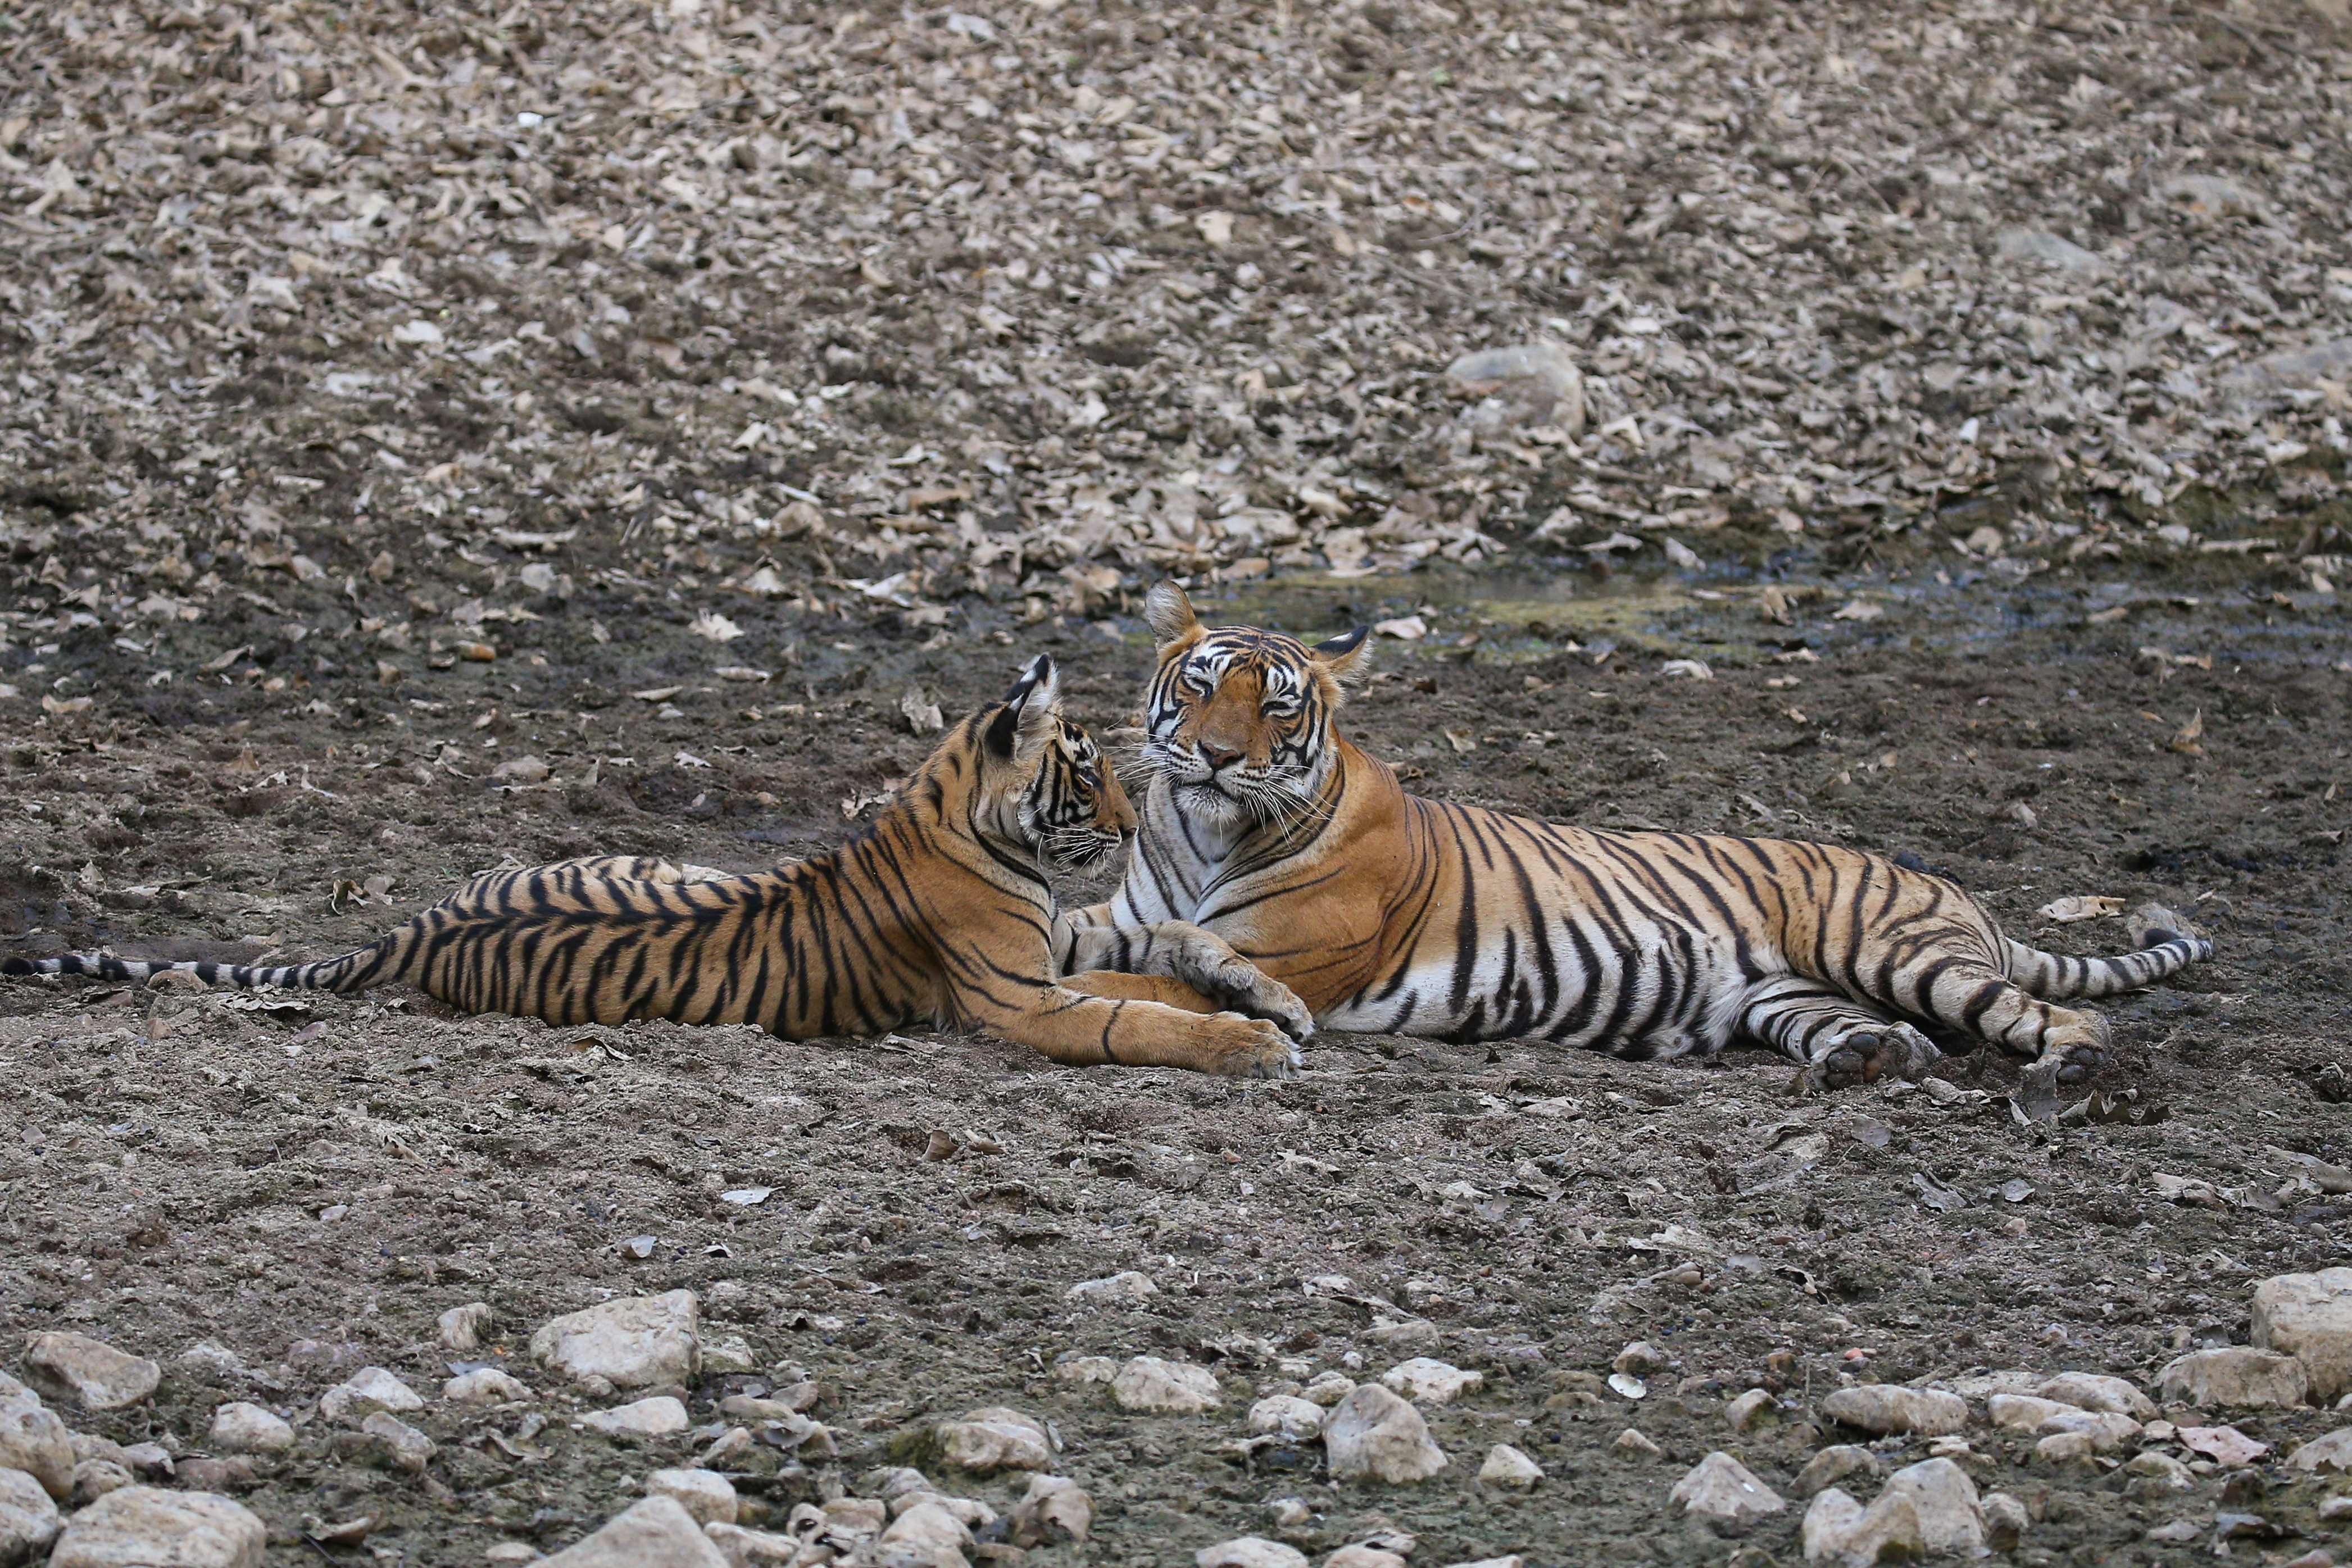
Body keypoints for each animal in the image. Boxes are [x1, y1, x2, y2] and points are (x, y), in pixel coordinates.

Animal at [4, 654, 1314, 1078]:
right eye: (1082, 771)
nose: (1129, 815)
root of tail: (411, 927)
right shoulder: (1022, 999)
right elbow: (1140, 1015)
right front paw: (1247, 1043)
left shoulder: (1063, 934)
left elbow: (1176, 939)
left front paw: (1278, 1002)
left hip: (641, 853)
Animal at [1054, 582, 2214, 1113]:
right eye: (1202, 686)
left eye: (1276, 706)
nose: (1212, 757)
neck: (1203, 832)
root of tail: (1955, 889)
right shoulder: (1119, 914)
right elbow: (1100, 938)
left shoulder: (1296, 953)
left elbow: (1172, 970)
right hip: (1787, 996)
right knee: (1896, 1038)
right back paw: (1870, 1061)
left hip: (1895, 951)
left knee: (2066, 1018)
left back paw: (2063, 1075)